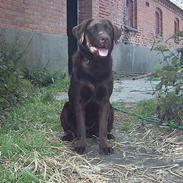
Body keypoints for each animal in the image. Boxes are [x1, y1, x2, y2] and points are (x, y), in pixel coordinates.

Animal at [60, 19, 121, 154]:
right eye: (93, 29)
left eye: (109, 29)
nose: (105, 38)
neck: (95, 64)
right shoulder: (79, 100)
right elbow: (81, 127)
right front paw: (81, 145)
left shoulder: (104, 101)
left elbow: (102, 128)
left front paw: (104, 146)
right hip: (65, 109)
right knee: (72, 130)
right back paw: (68, 136)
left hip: (111, 109)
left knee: (102, 130)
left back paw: (109, 135)